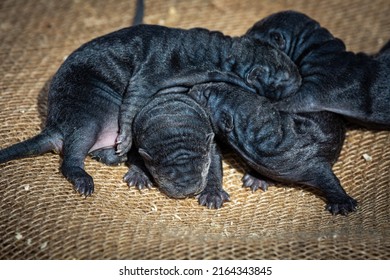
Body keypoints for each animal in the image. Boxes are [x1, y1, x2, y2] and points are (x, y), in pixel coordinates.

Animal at [0, 23, 300, 195]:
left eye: (289, 62)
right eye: (283, 77)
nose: (299, 80)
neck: (208, 53)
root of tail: (54, 125)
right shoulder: (153, 68)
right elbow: (134, 96)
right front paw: (125, 137)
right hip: (83, 111)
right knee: (75, 149)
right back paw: (83, 176)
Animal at [189, 82, 356, 215]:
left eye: (206, 95)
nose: (192, 88)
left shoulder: (306, 159)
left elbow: (326, 176)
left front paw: (342, 203)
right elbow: (212, 157)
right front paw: (212, 194)